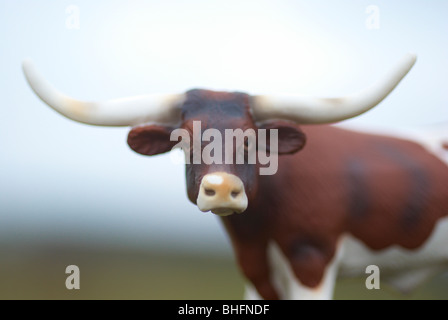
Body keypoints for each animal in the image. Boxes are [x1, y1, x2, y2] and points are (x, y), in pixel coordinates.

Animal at [23, 53, 448, 298]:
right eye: (183, 140)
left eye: (251, 140)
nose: (223, 189)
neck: (258, 232)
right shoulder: (255, 269)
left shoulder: (311, 259)